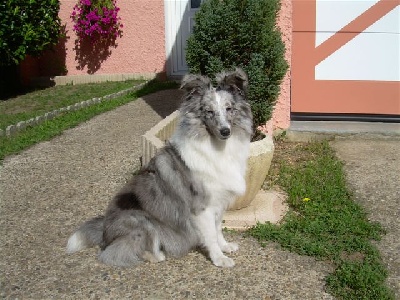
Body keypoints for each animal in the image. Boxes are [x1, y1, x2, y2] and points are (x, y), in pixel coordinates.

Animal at [65, 68, 253, 268]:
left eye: (229, 108)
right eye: (209, 111)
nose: (225, 131)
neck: (217, 147)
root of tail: (104, 231)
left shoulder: (219, 202)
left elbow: (218, 229)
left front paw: (225, 247)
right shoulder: (202, 207)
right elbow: (210, 235)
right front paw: (219, 259)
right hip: (142, 221)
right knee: (116, 253)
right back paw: (157, 255)